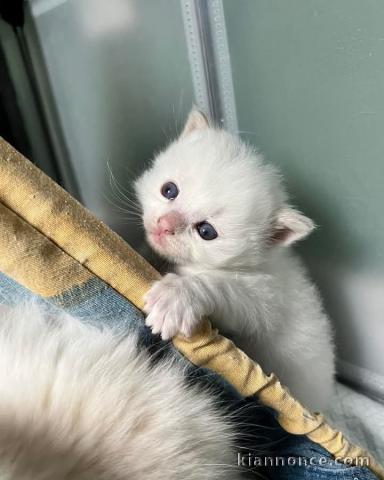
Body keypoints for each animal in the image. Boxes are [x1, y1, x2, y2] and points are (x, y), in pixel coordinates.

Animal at [136, 109, 334, 408]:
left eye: (206, 231)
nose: (164, 225)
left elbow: (224, 289)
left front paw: (177, 297)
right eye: (169, 190)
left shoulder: (265, 297)